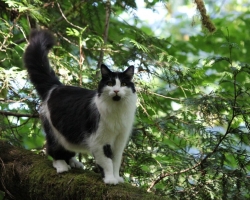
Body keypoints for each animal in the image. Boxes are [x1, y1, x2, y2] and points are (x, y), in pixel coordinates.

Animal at [23, 29, 137, 184]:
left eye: (124, 84)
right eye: (110, 83)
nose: (116, 91)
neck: (117, 111)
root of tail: (56, 87)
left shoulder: (120, 141)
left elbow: (116, 162)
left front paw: (117, 177)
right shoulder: (99, 141)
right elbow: (107, 162)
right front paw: (109, 179)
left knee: (67, 151)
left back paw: (74, 163)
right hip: (54, 132)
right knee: (53, 150)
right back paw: (62, 166)